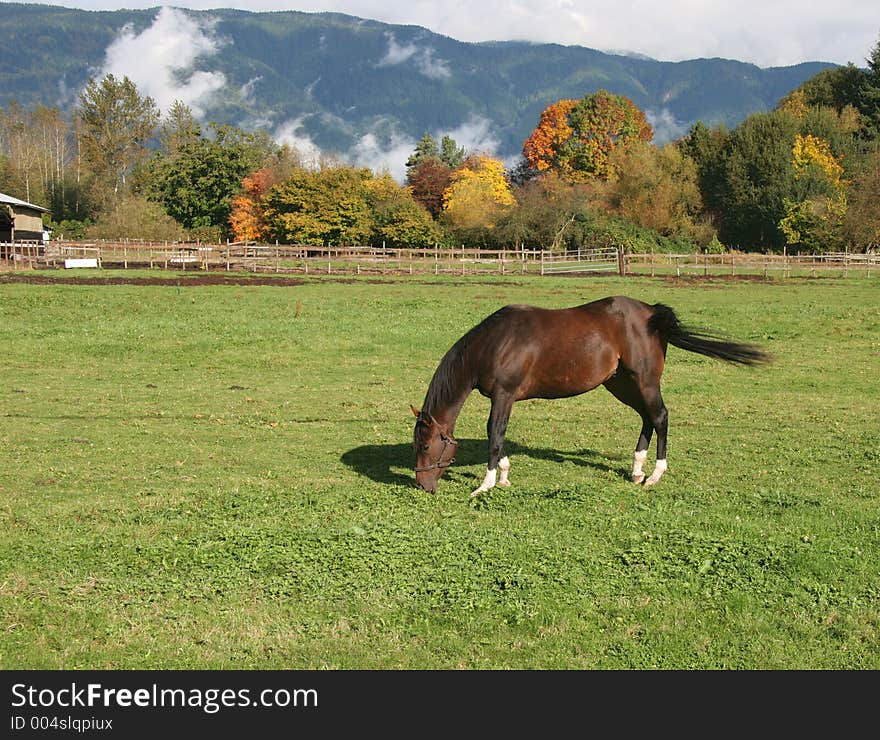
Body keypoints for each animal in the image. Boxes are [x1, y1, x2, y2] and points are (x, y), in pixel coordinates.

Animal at [412, 294, 768, 498]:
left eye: (427, 447)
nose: (422, 485)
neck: (497, 341)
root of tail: (652, 314)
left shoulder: (504, 395)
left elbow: (495, 434)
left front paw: (485, 485)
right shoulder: (502, 398)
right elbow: (498, 436)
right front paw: (503, 477)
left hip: (644, 381)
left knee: (660, 416)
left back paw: (654, 474)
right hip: (622, 384)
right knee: (647, 417)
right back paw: (636, 470)